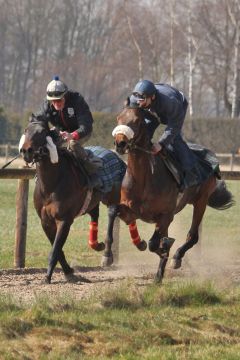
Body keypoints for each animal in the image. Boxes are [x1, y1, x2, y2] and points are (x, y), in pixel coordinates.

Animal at [19, 118, 146, 284]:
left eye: (41, 131)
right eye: (26, 130)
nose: (26, 151)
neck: (51, 184)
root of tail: (118, 159)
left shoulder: (64, 220)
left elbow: (55, 250)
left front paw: (47, 277)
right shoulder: (45, 221)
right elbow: (58, 250)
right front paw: (69, 272)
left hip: (114, 196)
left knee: (114, 213)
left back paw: (109, 254)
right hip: (94, 201)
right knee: (100, 215)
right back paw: (103, 244)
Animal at [108, 102, 233, 282]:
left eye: (137, 121)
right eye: (119, 117)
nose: (120, 143)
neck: (144, 178)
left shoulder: (165, 215)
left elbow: (155, 244)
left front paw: (164, 248)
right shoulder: (131, 211)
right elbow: (113, 211)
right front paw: (108, 254)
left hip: (200, 201)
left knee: (192, 236)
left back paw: (176, 257)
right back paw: (158, 276)